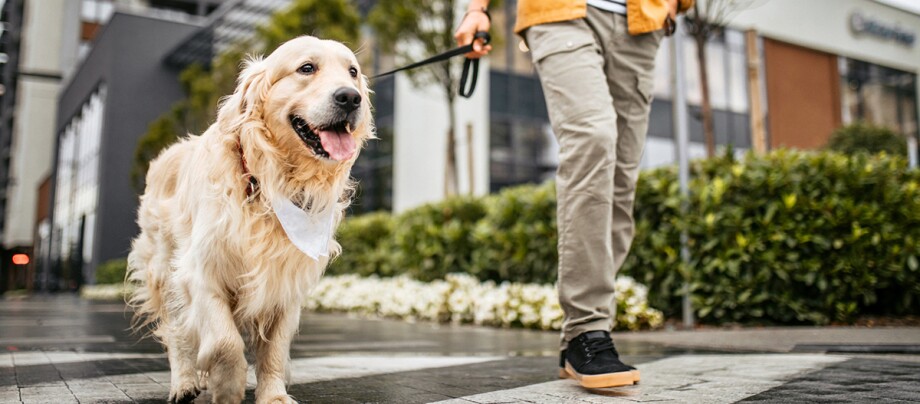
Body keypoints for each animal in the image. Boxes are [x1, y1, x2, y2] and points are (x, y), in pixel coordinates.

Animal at [127, 35, 372, 404]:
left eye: (353, 72)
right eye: (307, 68)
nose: (350, 97)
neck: (269, 183)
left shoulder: (285, 281)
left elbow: (273, 350)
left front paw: (272, 395)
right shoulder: (200, 271)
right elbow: (225, 342)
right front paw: (228, 387)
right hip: (163, 268)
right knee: (177, 331)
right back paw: (184, 382)